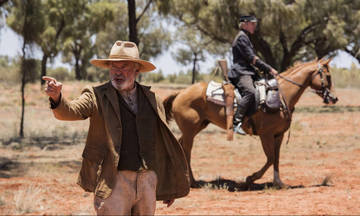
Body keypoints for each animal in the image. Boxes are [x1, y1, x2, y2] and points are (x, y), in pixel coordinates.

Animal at [163, 58, 338, 188]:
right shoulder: (265, 135)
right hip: (190, 131)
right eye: (328, 76)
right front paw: (250, 179)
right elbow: (270, 158)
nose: (334, 98)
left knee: (181, 146)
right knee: (187, 150)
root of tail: (180, 92)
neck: (282, 95)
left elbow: (276, 159)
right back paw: (192, 182)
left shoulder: (278, 135)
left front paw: (279, 183)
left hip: (196, 128)